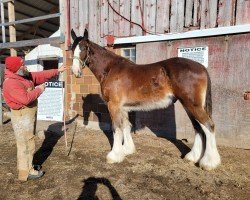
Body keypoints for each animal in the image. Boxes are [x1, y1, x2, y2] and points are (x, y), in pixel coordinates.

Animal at [70, 28, 221, 170]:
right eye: (72, 49)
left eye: (84, 47)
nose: (75, 72)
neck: (110, 69)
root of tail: (201, 67)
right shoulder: (123, 107)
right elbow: (126, 126)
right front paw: (127, 150)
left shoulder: (113, 105)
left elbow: (116, 128)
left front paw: (114, 155)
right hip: (188, 105)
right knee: (198, 128)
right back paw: (193, 157)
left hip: (192, 105)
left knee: (208, 126)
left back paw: (209, 163)